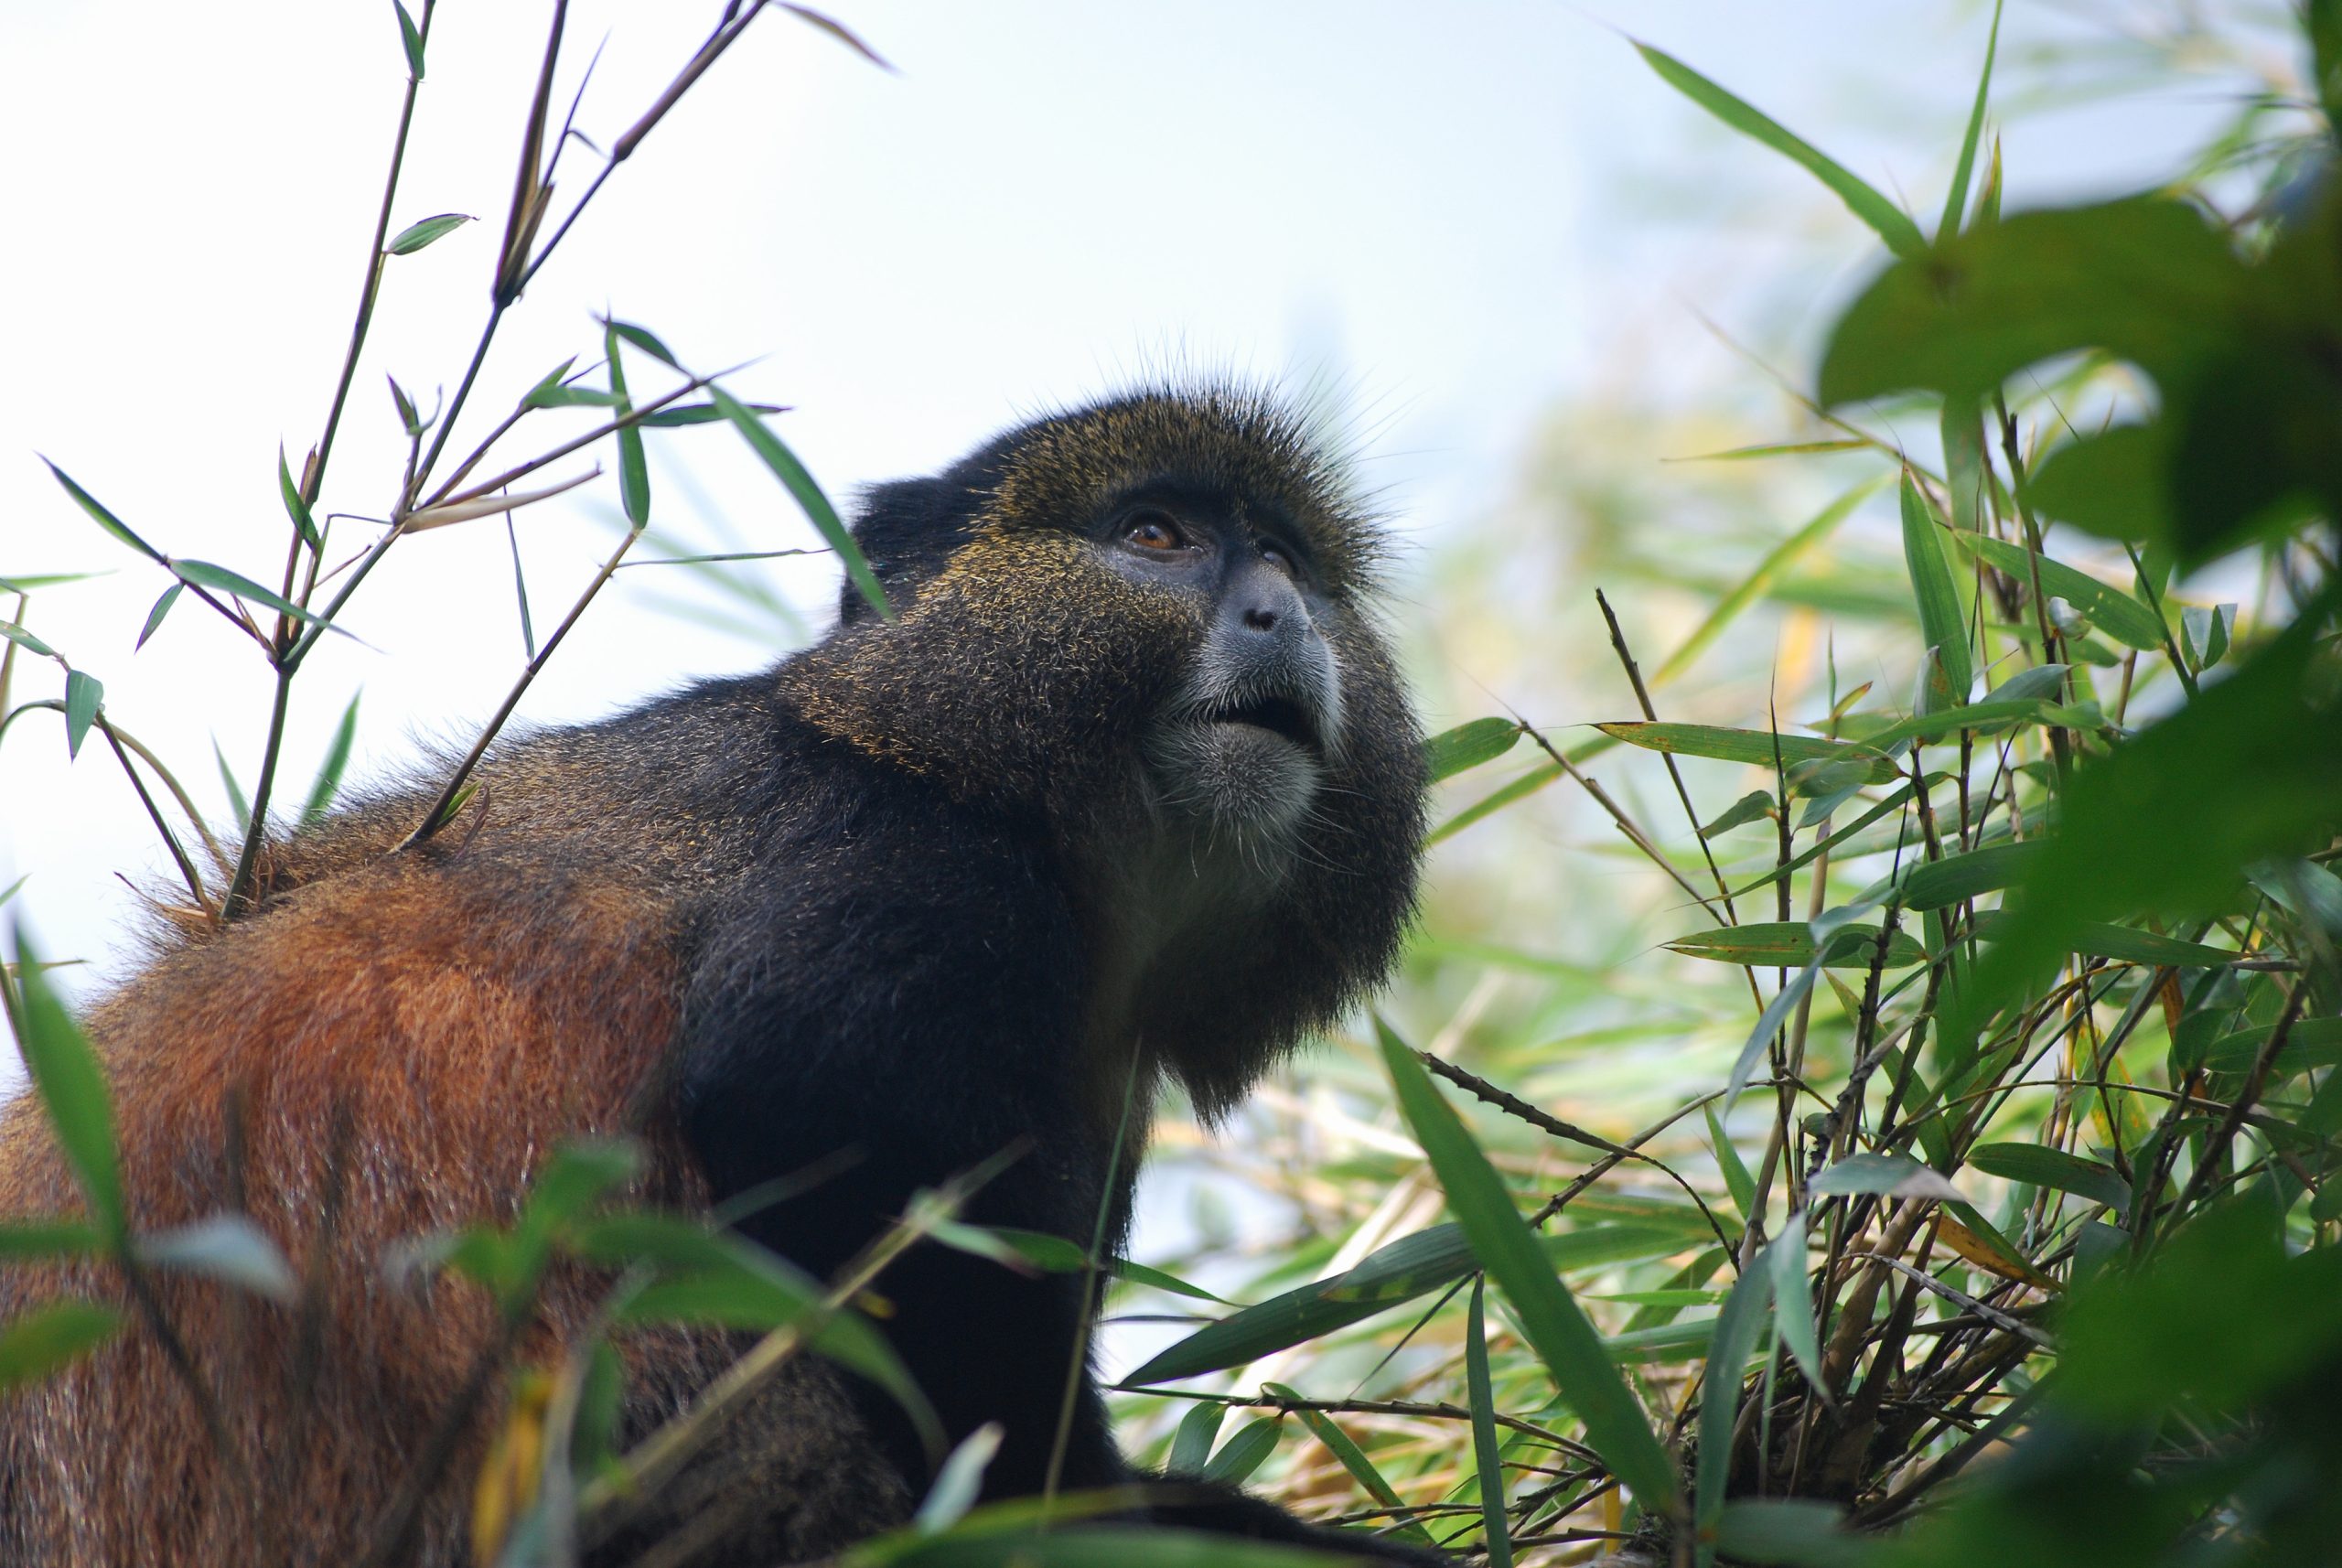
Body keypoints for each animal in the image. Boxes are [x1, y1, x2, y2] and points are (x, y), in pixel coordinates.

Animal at [0, 385, 1436, 1566]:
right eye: (1156, 535)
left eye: (1287, 561)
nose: (1277, 613)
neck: (963, 762)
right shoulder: (918, 870)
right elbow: (818, 1118)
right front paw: (1086, 1519)